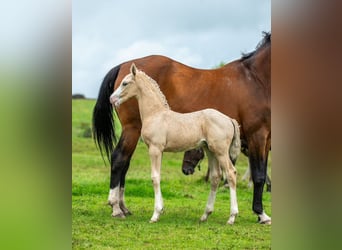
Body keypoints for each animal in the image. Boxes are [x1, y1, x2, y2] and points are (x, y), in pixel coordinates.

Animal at [109, 63, 240, 224]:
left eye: (125, 83)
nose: (112, 99)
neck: (155, 114)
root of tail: (229, 119)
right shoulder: (160, 151)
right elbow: (158, 176)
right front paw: (161, 209)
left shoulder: (155, 149)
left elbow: (155, 177)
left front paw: (155, 214)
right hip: (210, 150)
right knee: (215, 177)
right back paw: (205, 215)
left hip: (221, 151)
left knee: (231, 173)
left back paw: (232, 217)